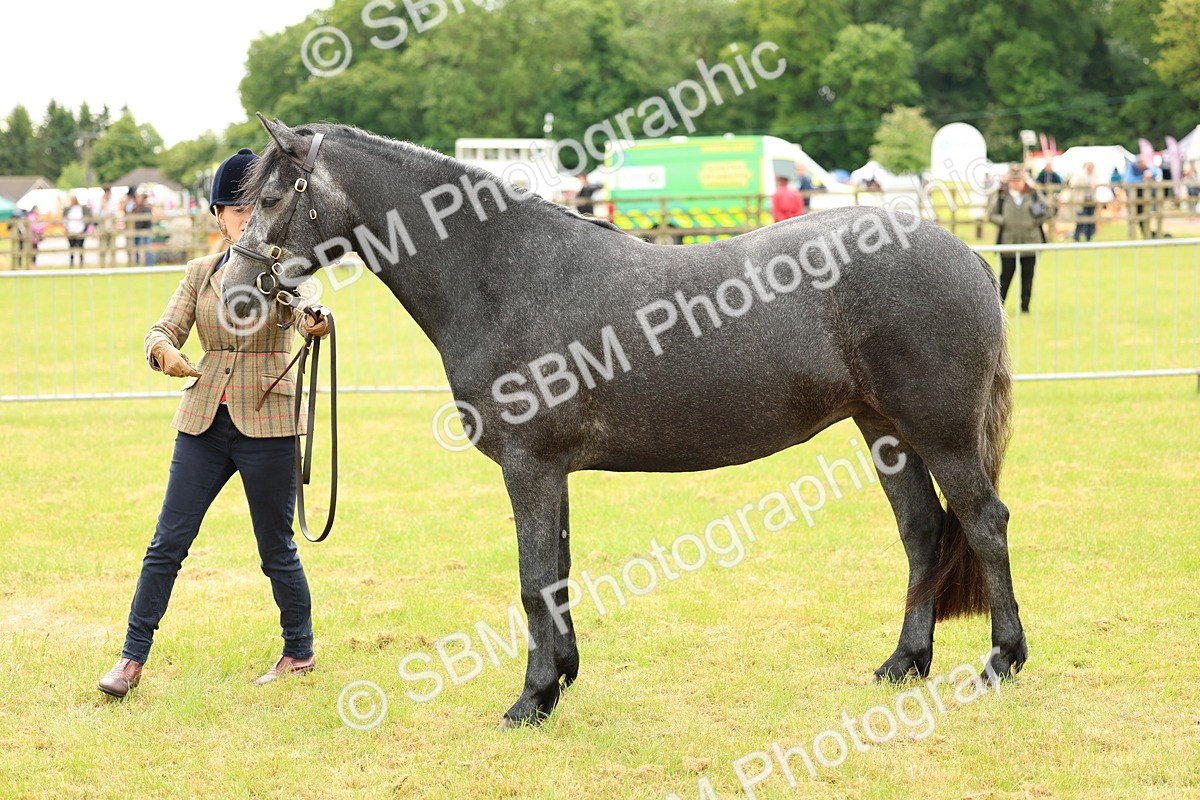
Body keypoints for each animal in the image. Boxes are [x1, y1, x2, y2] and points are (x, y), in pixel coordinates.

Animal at [223, 116, 1027, 728]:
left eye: (274, 195)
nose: (234, 290)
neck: (501, 275)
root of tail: (967, 254)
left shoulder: (530, 466)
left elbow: (532, 580)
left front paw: (531, 700)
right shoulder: (552, 471)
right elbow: (557, 575)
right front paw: (561, 679)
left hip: (941, 433)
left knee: (983, 523)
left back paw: (1002, 661)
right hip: (884, 431)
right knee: (923, 533)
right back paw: (904, 663)